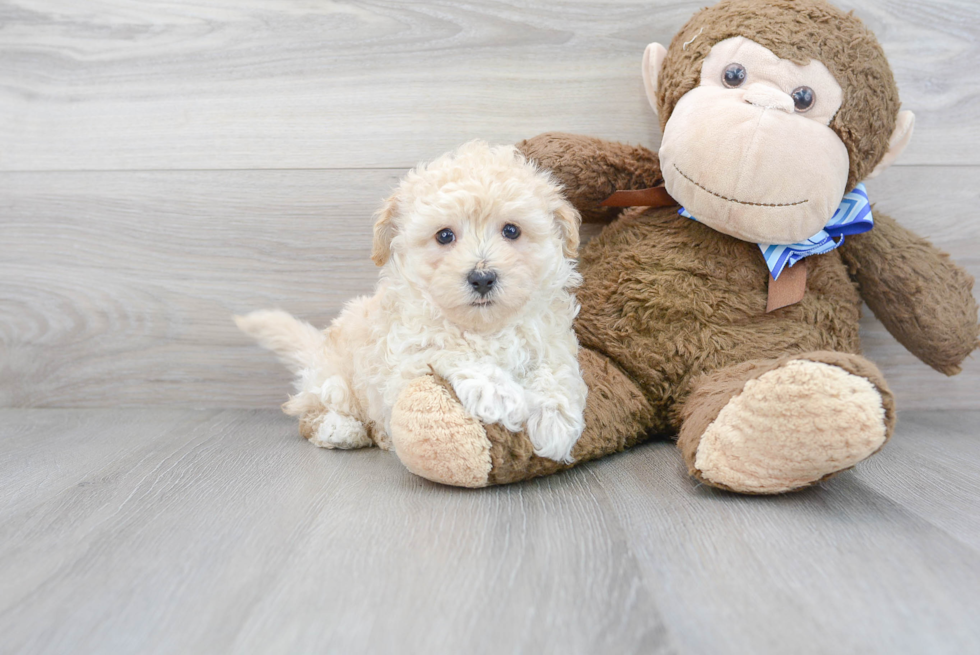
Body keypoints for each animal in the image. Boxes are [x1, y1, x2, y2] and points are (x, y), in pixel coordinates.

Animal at [235, 141, 588, 464]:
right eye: (444, 236)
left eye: (512, 231)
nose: (482, 278)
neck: (484, 328)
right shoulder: (407, 358)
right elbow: (449, 349)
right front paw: (499, 393)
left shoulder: (551, 338)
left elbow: (557, 369)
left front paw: (556, 419)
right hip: (334, 383)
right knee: (311, 414)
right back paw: (340, 430)